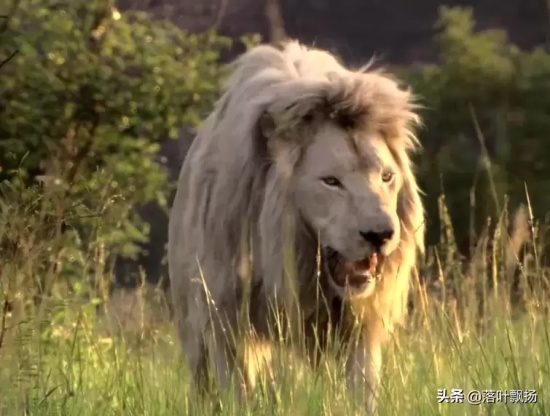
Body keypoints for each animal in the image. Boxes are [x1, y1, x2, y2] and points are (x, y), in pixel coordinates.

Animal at [168, 39, 426, 412]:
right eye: (331, 181)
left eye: (387, 177)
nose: (381, 235)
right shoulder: (224, 315)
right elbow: (237, 391)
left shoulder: (361, 325)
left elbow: (362, 390)